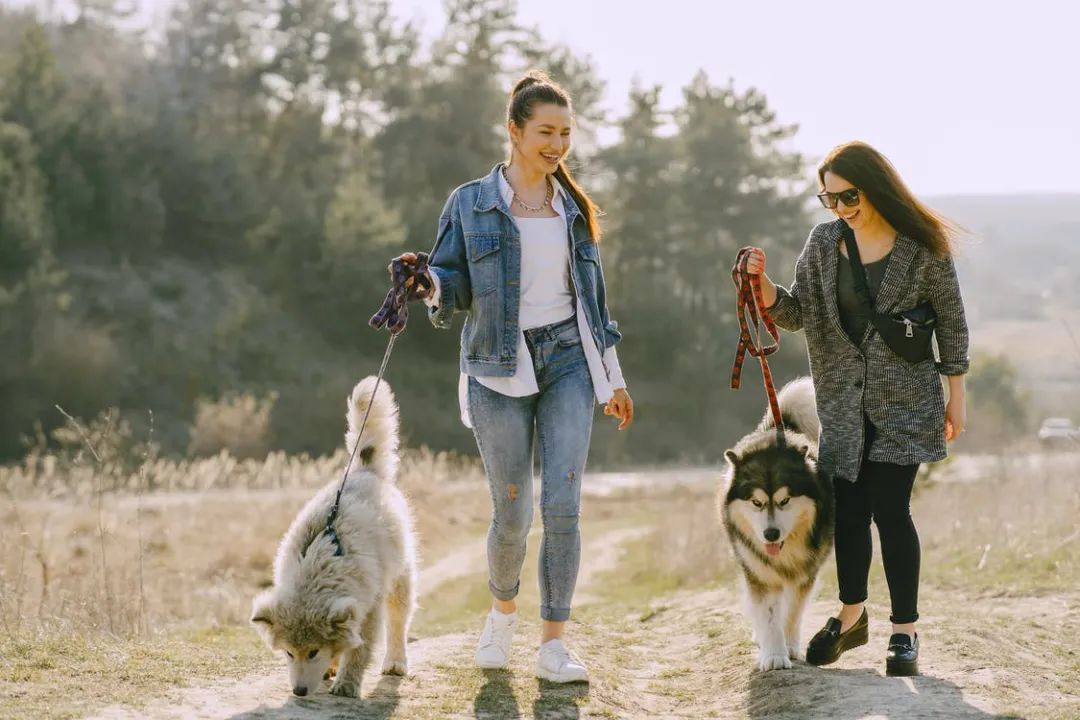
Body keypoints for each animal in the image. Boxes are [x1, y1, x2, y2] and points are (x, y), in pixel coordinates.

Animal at [251, 377, 416, 699]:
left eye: (314, 651)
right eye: (289, 653)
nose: (299, 692)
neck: (321, 564)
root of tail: (364, 470)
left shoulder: (369, 609)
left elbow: (359, 650)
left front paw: (347, 684)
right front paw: (333, 668)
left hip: (400, 577)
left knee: (398, 621)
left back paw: (395, 662)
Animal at [717, 379, 833, 673]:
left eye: (785, 501)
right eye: (756, 502)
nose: (771, 534)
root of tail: (778, 430)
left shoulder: (805, 571)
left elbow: (792, 611)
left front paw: (789, 647)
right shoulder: (759, 572)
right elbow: (768, 615)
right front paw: (773, 655)